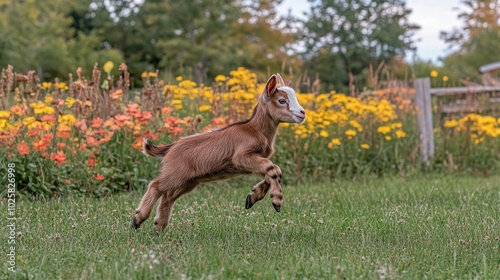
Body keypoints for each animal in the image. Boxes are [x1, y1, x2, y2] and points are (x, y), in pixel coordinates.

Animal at [131, 74, 306, 234]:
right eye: (282, 101)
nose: (302, 113)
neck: (254, 130)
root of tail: (169, 147)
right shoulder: (241, 157)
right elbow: (272, 168)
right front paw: (276, 200)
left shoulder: (256, 159)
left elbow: (272, 172)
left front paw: (252, 197)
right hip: (176, 173)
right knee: (155, 186)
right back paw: (137, 219)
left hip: (188, 180)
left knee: (167, 197)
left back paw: (158, 227)